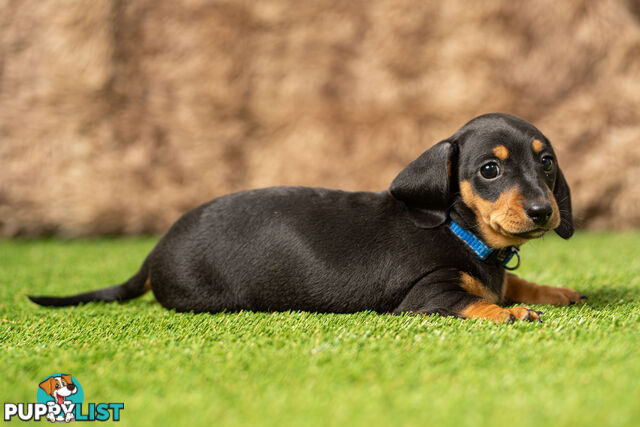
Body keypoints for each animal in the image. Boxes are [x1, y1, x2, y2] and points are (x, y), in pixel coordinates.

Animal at [28, 113, 584, 320]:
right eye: (490, 169)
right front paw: (509, 312)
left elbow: (512, 284)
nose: (543, 211)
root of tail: (155, 250)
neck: (462, 232)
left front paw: (551, 291)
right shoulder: (428, 294)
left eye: (546, 161)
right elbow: (476, 301)